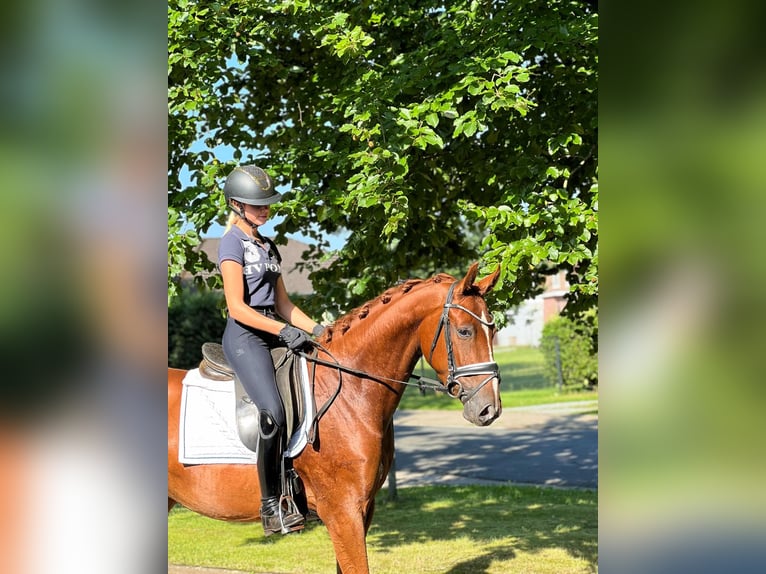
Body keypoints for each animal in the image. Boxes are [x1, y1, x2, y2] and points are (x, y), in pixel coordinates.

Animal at [169, 264, 504, 572]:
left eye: (494, 330)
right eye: (464, 331)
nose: (489, 408)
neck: (350, 392)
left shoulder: (362, 509)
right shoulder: (343, 511)